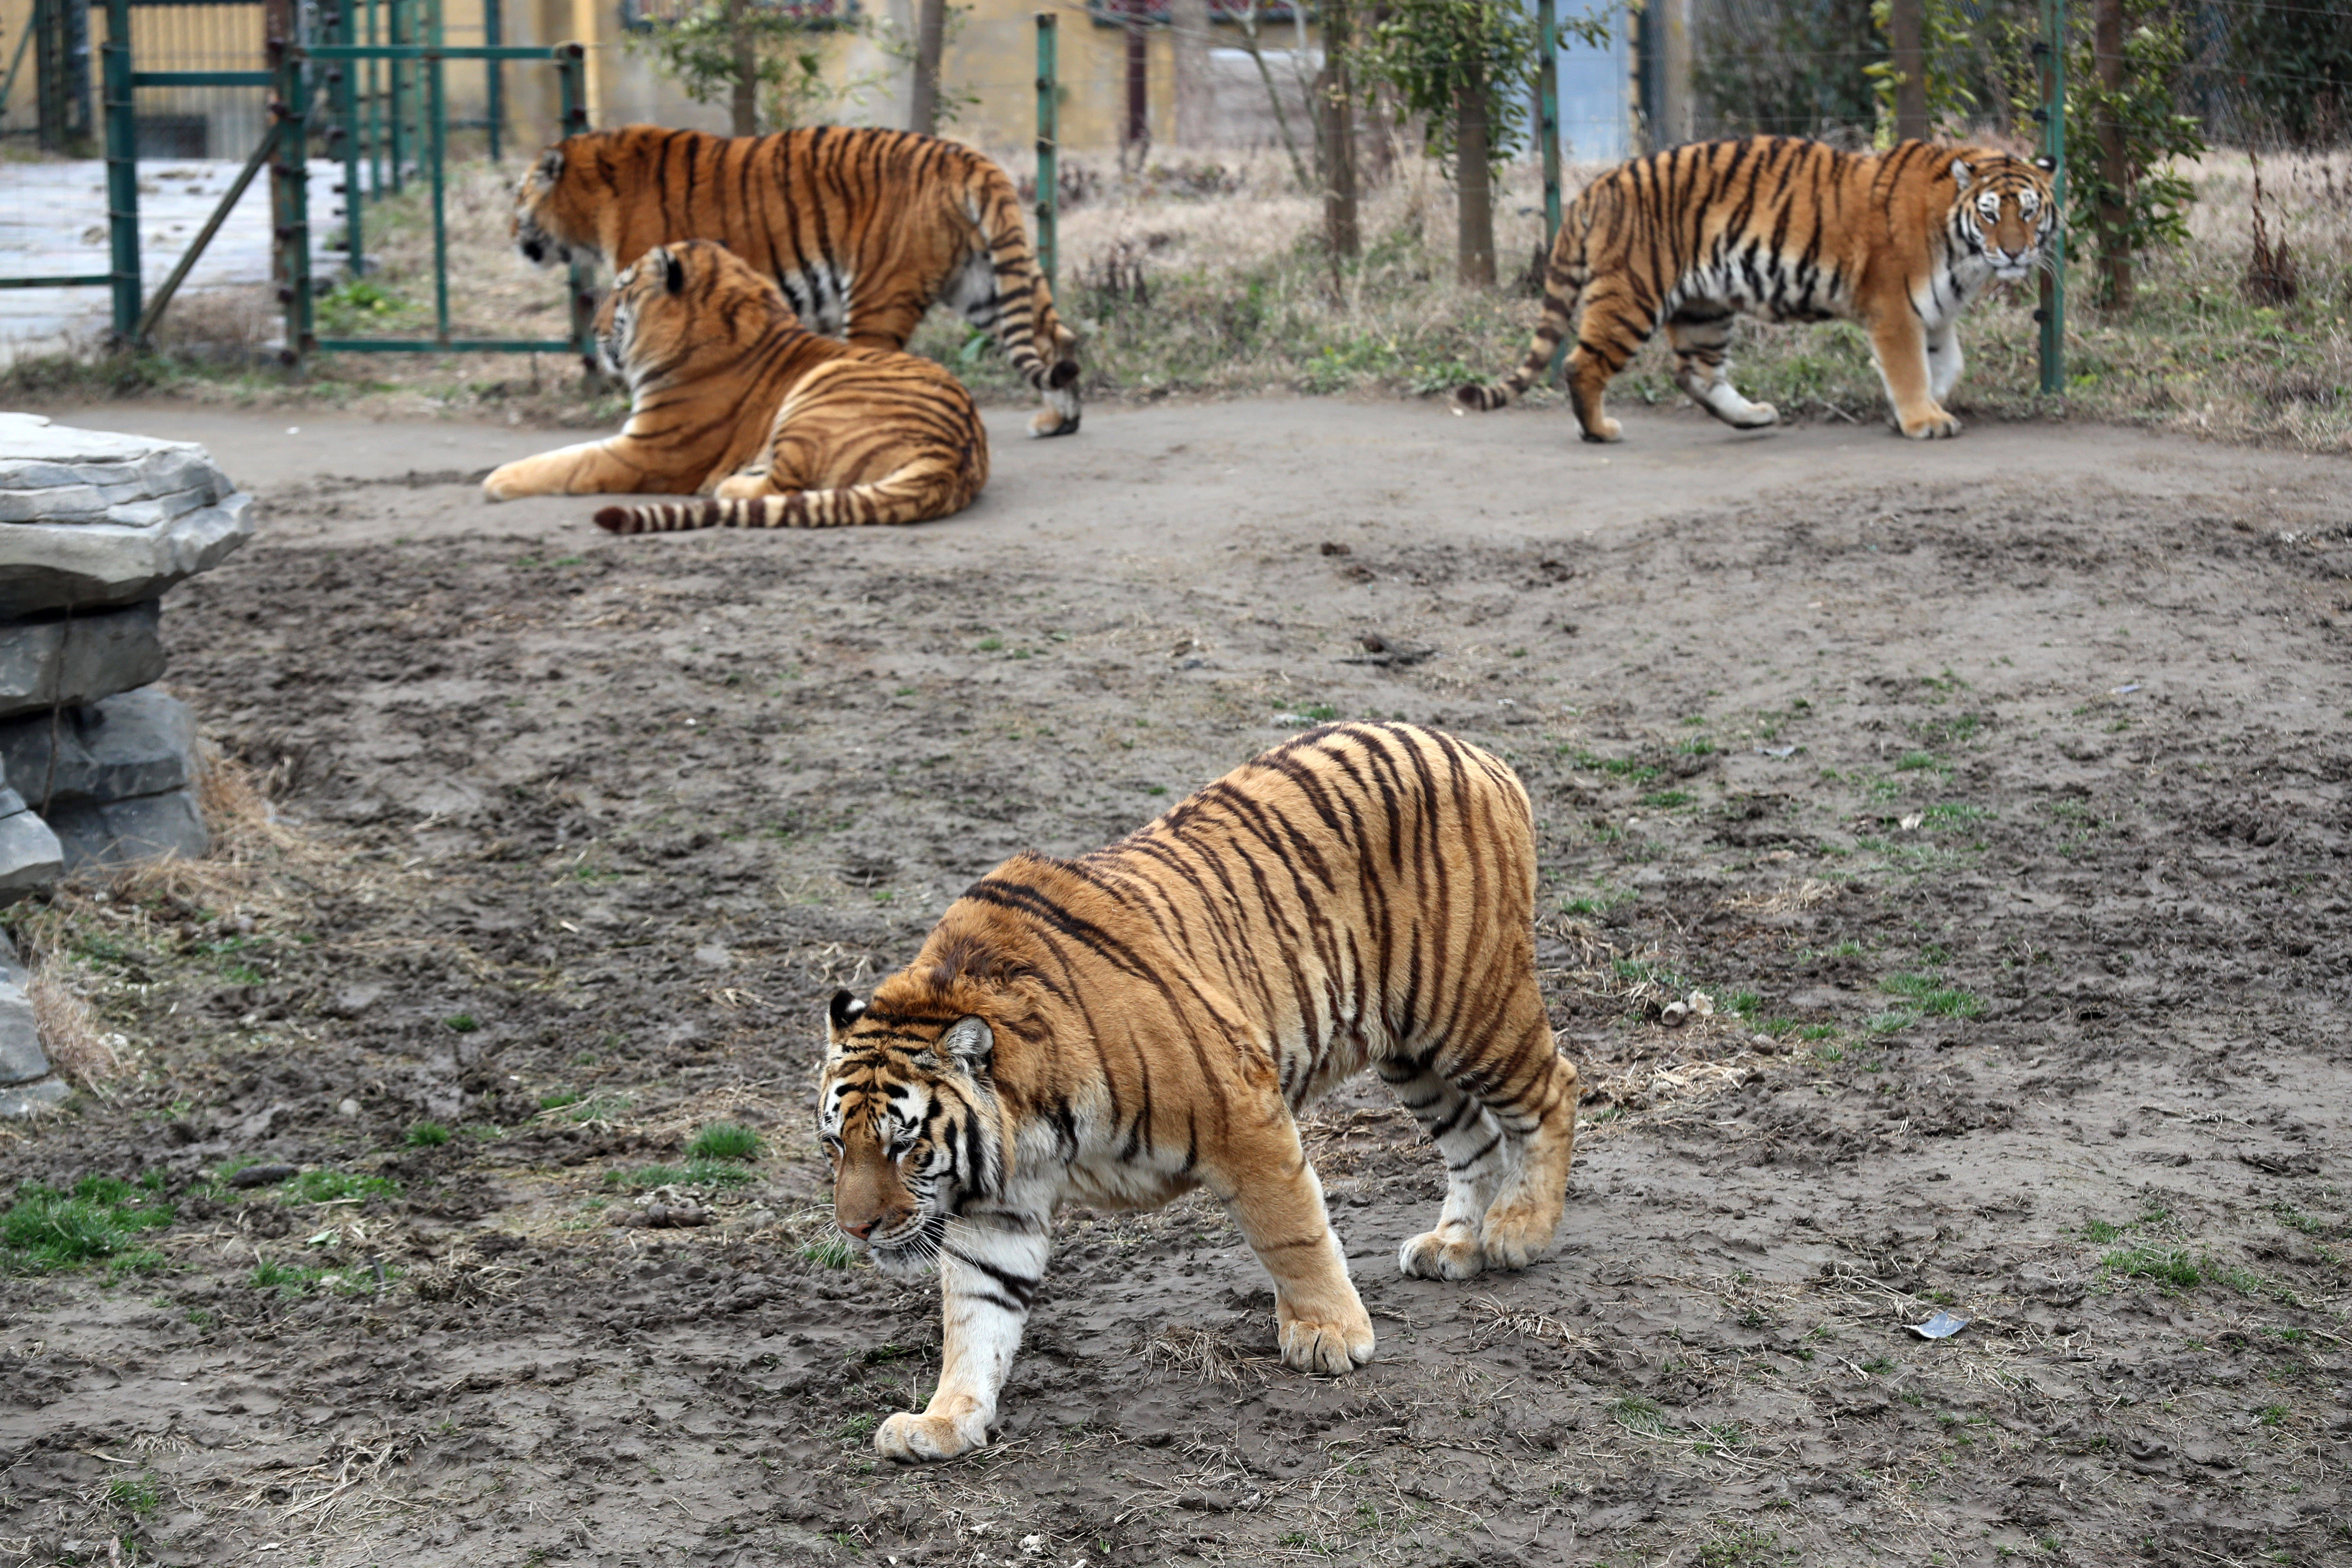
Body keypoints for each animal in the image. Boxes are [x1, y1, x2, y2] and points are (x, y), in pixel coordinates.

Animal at [482, 236, 988, 533]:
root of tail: (952, 457)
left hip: (817, 391)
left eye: (622, 290)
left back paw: (732, 485)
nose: (594, 327)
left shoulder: (647, 452)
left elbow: (567, 463)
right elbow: (566, 453)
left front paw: (498, 479)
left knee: (784, 487)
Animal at [515, 123, 1082, 439]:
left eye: (518, 197)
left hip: (880, 293)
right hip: (982, 283)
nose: (511, 232)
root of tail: (968, 156)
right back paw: (1059, 422)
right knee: (1057, 339)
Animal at [814, 729, 1580, 1467]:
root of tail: (1472, 750)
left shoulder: (1242, 1109)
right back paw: (1455, 1244)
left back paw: (1518, 1231)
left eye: (905, 1146)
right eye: (835, 1146)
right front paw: (942, 1422)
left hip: (1469, 1007)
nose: (856, 1230)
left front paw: (1328, 1334)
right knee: (1476, 1139)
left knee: (1555, 1089)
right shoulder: (995, 1207)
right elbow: (976, 1315)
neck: (1027, 1128)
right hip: (1410, 1052)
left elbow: (1292, 1232)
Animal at [1449, 137, 2060, 442]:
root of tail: (1592, 189)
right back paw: (1599, 430)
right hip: (1632, 296)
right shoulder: (1895, 311)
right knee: (1583, 364)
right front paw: (1923, 422)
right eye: (1990, 215)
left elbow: (1946, 365)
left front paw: (1916, 410)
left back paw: (1753, 417)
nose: (2014, 252)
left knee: (1695, 373)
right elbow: (1911, 370)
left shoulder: (1933, 314)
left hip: (1705, 306)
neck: (1962, 253)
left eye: (2029, 213)